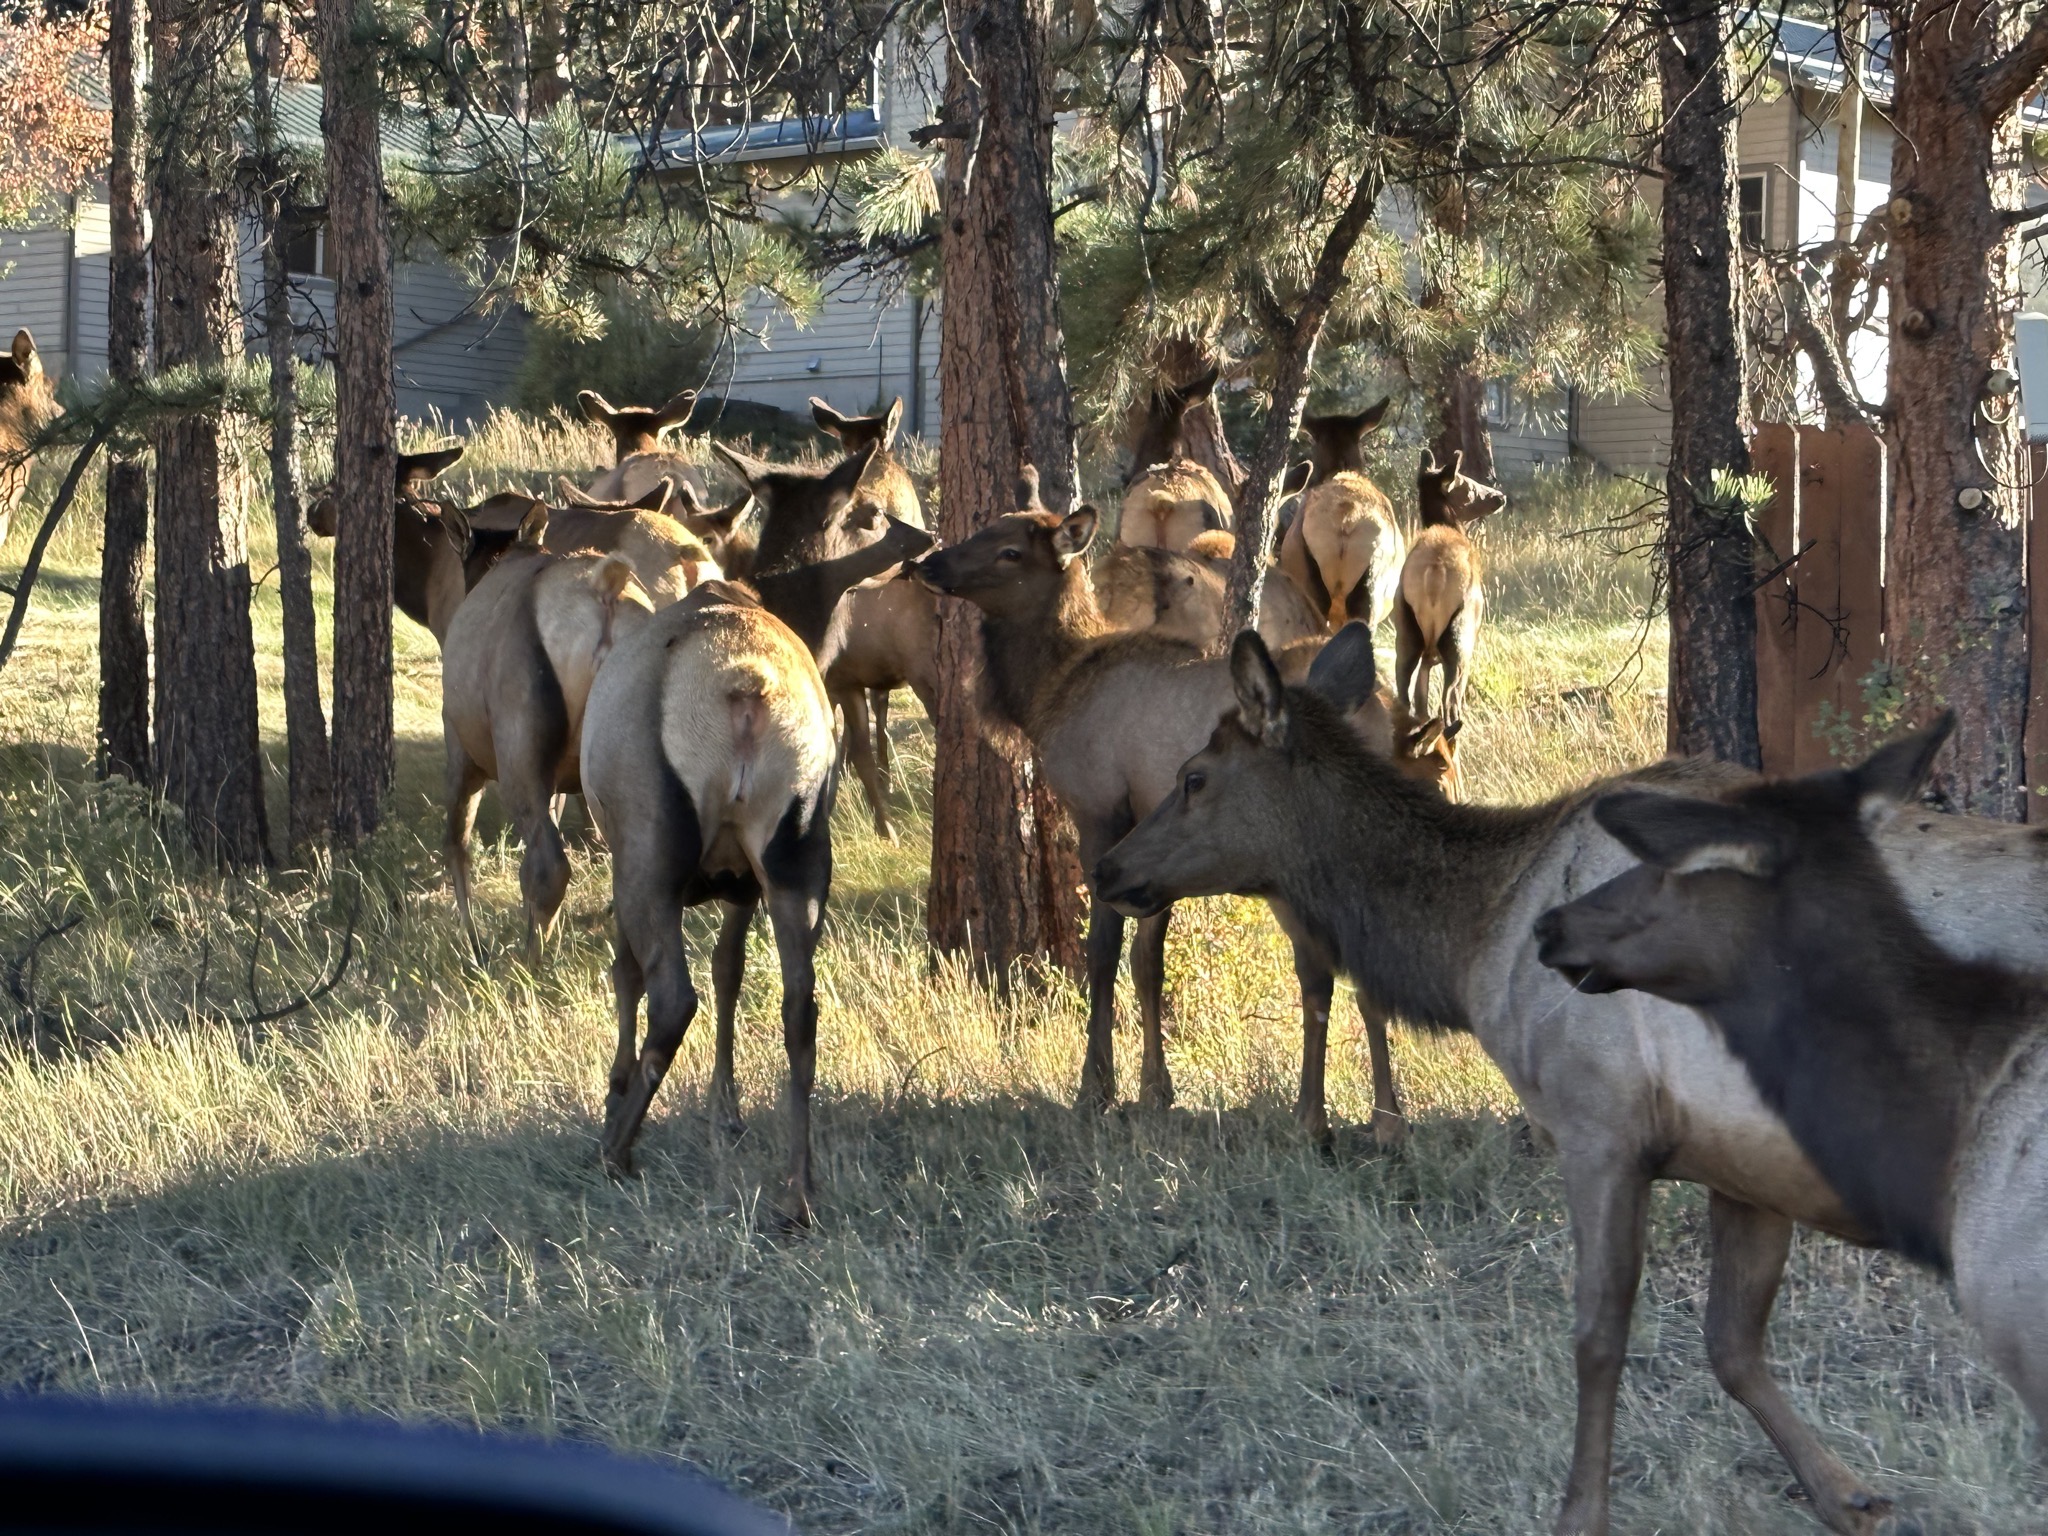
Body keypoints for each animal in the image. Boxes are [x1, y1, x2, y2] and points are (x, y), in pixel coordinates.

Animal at [579, 511, 934, 1227]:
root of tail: (744, 686)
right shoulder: (743, 883)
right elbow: (731, 971)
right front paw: (728, 1109)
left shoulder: (625, 859)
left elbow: (628, 973)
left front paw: (615, 1087)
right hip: (799, 850)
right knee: (801, 1004)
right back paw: (799, 1188)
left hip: (651, 852)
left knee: (672, 996)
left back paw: (616, 1150)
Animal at [914, 484, 1447, 1151]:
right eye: (985, 529)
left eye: (1010, 550)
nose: (928, 563)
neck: (1045, 693)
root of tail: (1388, 724)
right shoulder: (1150, 844)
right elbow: (1149, 963)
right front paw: (1154, 1089)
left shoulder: (1100, 812)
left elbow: (1104, 953)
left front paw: (1098, 1087)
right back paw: (1386, 1117)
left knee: (1320, 970)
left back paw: (1327, 1116)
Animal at [1394, 448, 1507, 726]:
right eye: (1467, 484)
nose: (1500, 496)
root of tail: (1434, 576)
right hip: (1461, 633)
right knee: (1450, 702)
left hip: (1405, 627)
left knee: (1405, 694)